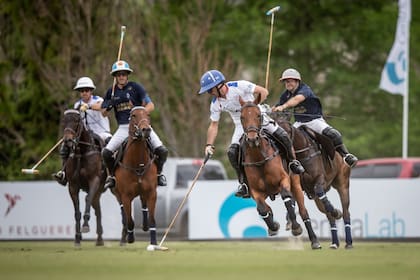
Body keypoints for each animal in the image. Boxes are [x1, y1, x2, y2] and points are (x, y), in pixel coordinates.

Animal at [60, 108, 106, 246]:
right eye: (64, 121)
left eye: (77, 121)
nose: (67, 140)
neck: (82, 152)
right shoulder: (72, 186)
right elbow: (77, 212)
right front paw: (77, 238)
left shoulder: (94, 181)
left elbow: (87, 199)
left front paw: (85, 226)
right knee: (98, 210)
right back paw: (99, 239)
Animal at [112, 105, 158, 247]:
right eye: (133, 115)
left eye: (148, 115)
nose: (146, 130)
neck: (138, 164)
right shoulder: (126, 196)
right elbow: (130, 220)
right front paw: (130, 237)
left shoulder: (152, 193)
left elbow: (152, 219)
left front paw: (154, 242)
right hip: (117, 193)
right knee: (124, 213)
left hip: (143, 192)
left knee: (143, 205)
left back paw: (144, 226)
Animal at [238, 94, 320, 245]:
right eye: (242, 117)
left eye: (258, 115)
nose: (252, 139)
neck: (260, 158)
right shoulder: (255, 191)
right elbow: (262, 208)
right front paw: (273, 226)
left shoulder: (284, 180)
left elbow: (287, 199)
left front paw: (296, 227)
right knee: (266, 208)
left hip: (296, 183)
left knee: (303, 211)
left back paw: (314, 240)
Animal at [272, 110, 354, 248]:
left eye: (282, 136)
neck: (301, 153)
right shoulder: (295, 183)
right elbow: (292, 200)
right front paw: (291, 223)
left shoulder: (319, 178)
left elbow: (319, 192)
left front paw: (335, 210)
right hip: (316, 198)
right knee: (329, 216)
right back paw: (335, 243)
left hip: (343, 184)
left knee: (345, 212)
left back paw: (348, 242)